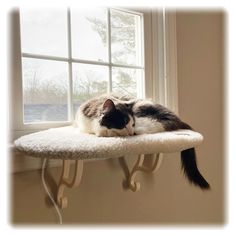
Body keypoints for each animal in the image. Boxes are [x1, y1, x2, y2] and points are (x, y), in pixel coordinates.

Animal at [75, 93, 210, 190]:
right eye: (124, 123)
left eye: (132, 124)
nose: (131, 132)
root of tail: (177, 118)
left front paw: (106, 132)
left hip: (144, 110)